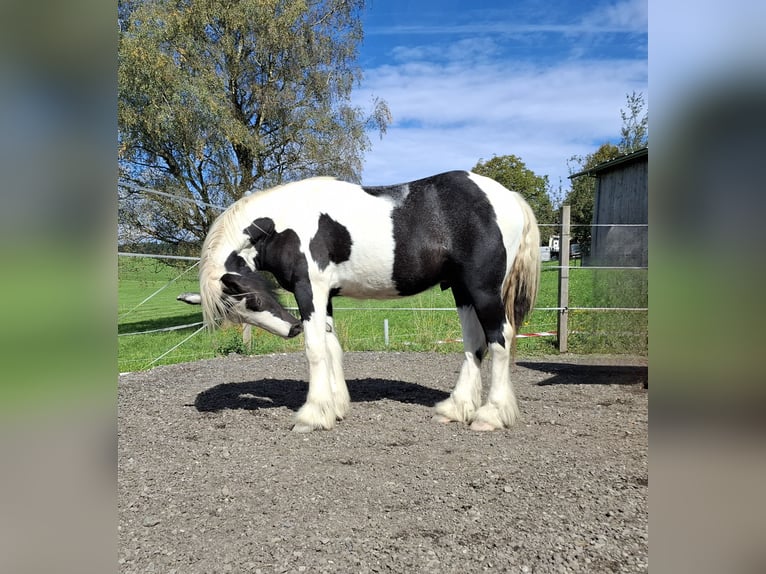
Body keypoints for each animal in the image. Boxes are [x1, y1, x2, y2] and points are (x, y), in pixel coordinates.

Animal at [201, 170, 544, 432]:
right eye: (238, 314)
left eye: (253, 301)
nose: (291, 329)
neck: (286, 221)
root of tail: (508, 196)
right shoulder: (326, 296)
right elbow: (332, 347)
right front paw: (335, 407)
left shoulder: (310, 289)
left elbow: (315, 349)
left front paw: (312, 415)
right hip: (462, 290)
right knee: (475, 343)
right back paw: (455, 409)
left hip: (483, 289)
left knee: (500, 339)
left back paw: (491, 415)